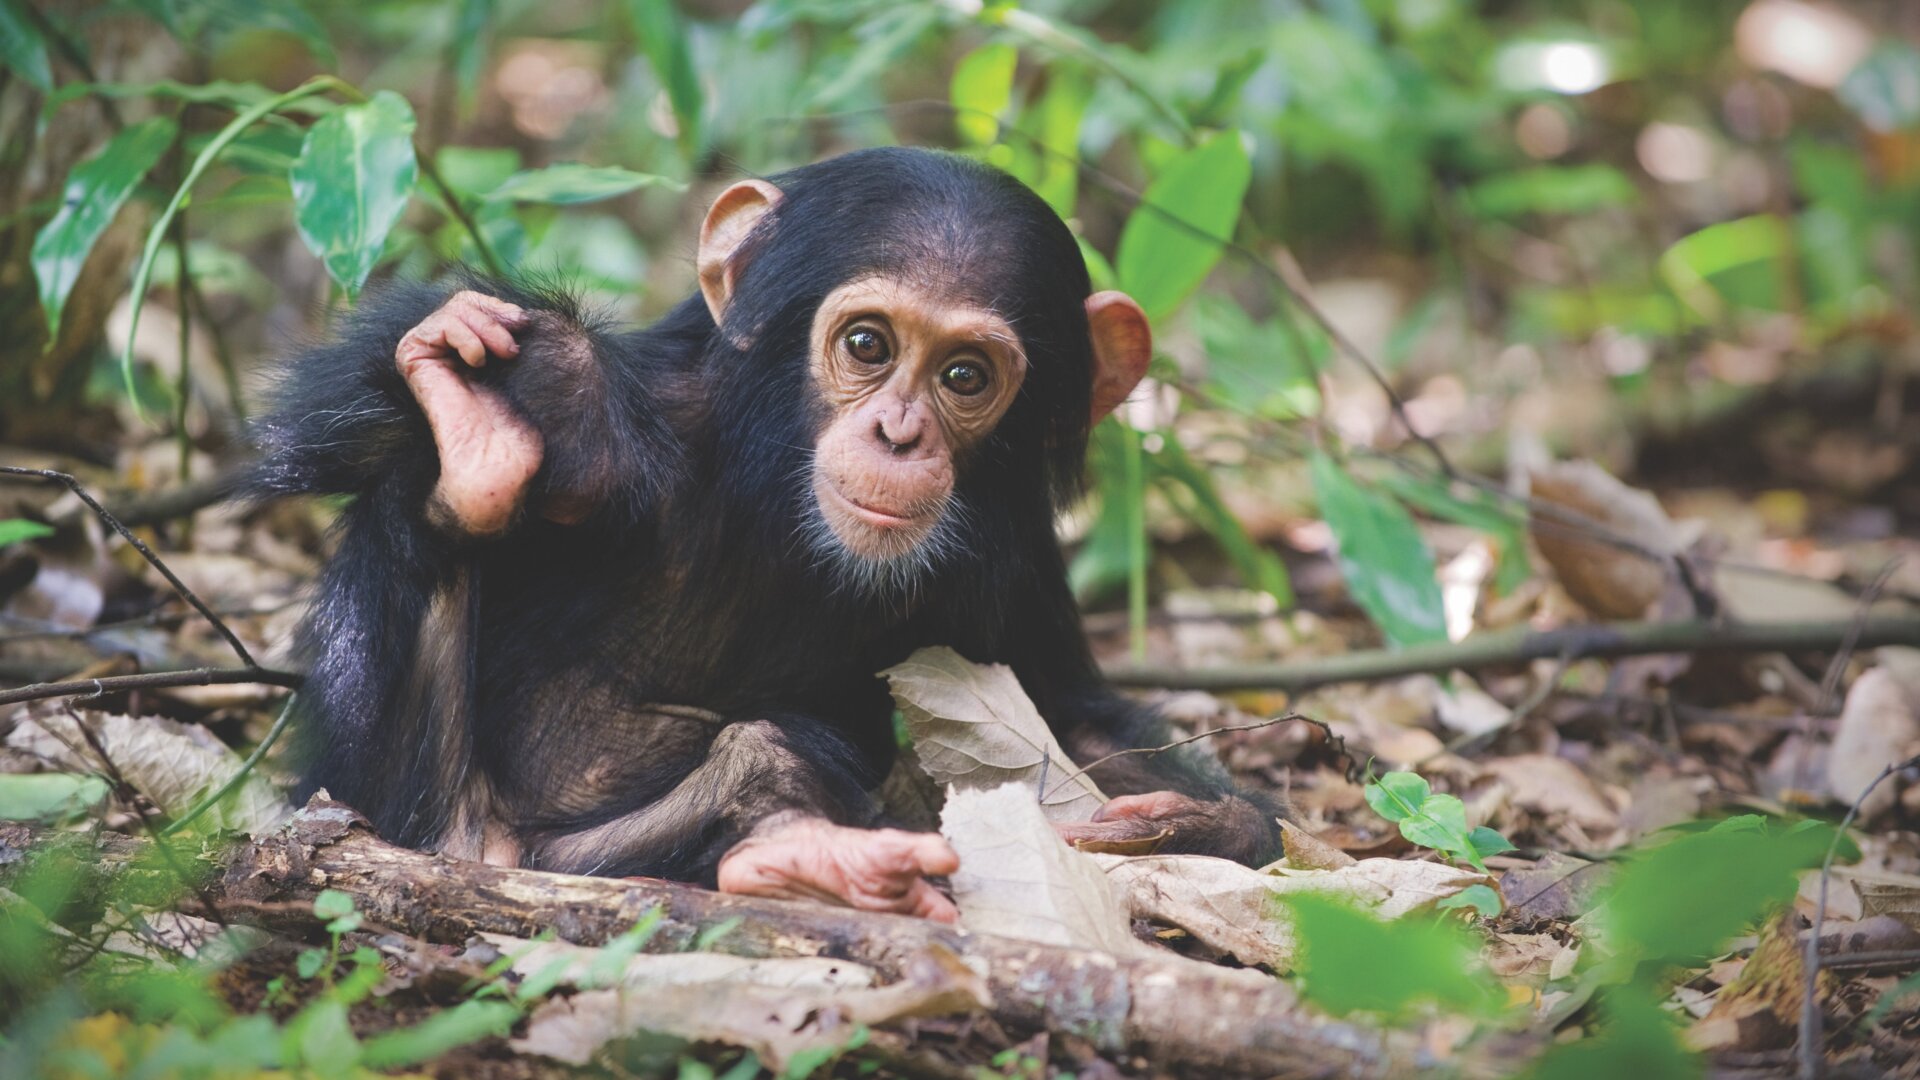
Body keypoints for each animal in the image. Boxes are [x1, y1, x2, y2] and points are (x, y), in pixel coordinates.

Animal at [252, 147, 1283, 922]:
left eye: (965, 376)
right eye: (867, 345)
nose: (899, 434)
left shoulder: (1013, 550)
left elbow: (1064, 706)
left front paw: (1198, 823)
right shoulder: (598, 419)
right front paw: (482, 401)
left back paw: (807, 858)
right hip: (443, 833)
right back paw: (475, 450)